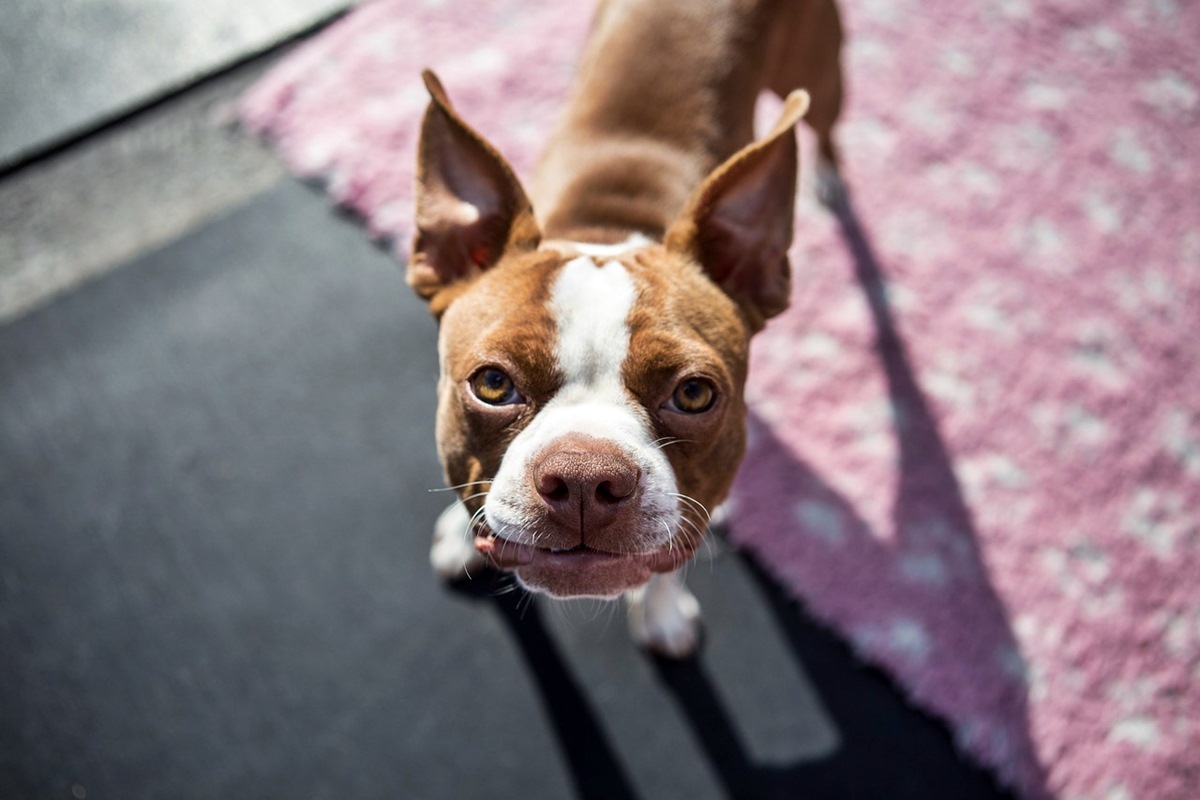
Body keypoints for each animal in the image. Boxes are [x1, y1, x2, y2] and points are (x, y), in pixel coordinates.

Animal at [412, 0, 844, 657]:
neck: (608, 229)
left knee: (826, 125)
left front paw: (662, 613)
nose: (584, 478)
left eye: (694, 394)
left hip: (821, 74)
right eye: (491, 384)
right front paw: (461, 535)